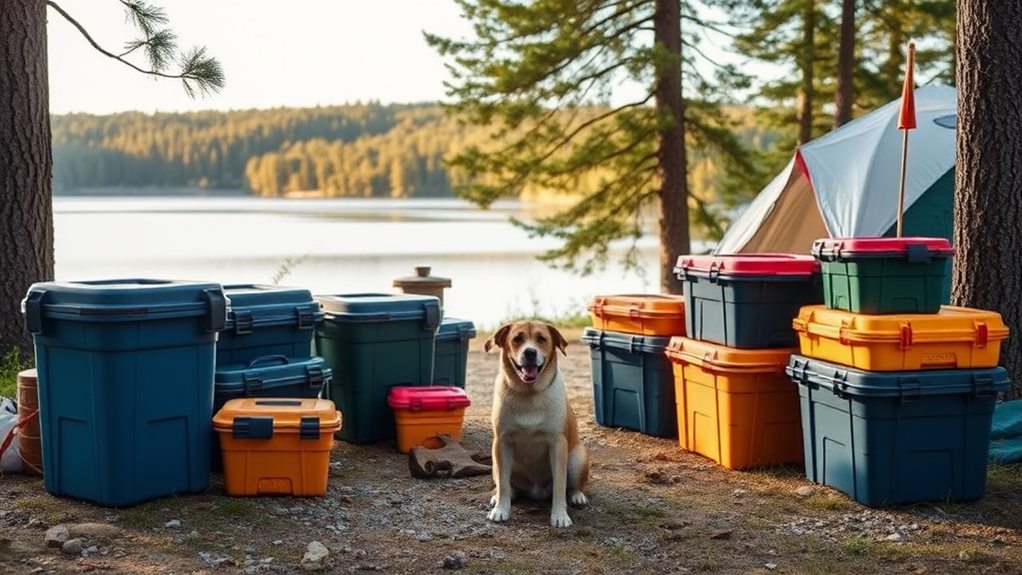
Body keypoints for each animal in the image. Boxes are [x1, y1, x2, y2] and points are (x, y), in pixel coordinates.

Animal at [484, 322, 592, 526]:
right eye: (517, 339)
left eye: (542, 339)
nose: (530, 352)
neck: (529, 394)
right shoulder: (501, 442)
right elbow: (503, 483)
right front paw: (501, 509)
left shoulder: (558, 444)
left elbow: (560, 485)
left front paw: (560, 515)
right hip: (496, 462)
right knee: (508, 486)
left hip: (577, 458)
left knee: (574, 486)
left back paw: (577, 496)